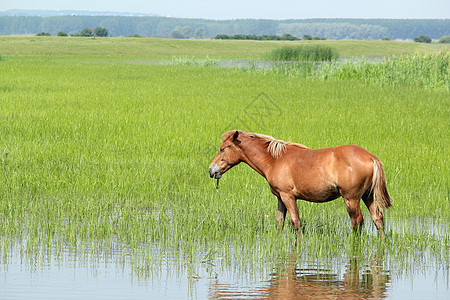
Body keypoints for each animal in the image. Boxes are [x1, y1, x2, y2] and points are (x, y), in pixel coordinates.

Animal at [209, 131, 392, 237]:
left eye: (223, 148)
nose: (211, 170)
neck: (275, 160)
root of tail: (371, 157)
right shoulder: (280, 198)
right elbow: (279, 223)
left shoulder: (288, 196)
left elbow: (296, 222)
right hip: (368, 196)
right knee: (378, 219)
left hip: (351, 199)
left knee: (357, 222)